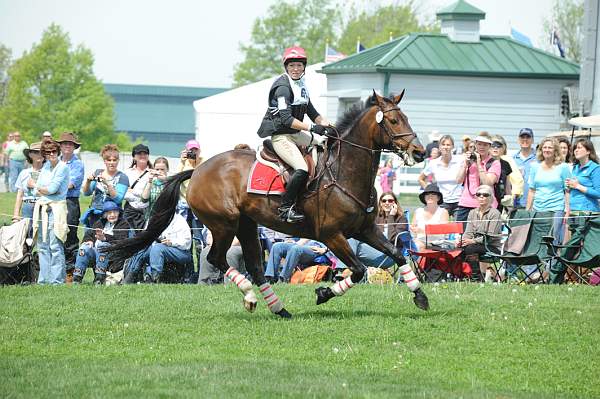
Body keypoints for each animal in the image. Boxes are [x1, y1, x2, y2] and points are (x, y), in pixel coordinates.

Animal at [109, 90, 432, 318]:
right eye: (393, 121)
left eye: (406, 118)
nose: (420, 152)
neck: (345, 171)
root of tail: (197, 171)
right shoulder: (332, 235)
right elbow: (358, 270)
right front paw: (323, 294)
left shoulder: (364, 230)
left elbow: (398, 254)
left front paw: (419, 295)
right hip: (224, 224)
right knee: (217, 259)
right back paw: (251, 298)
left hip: (246, 224)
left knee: (254, 265)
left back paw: (278, 308)